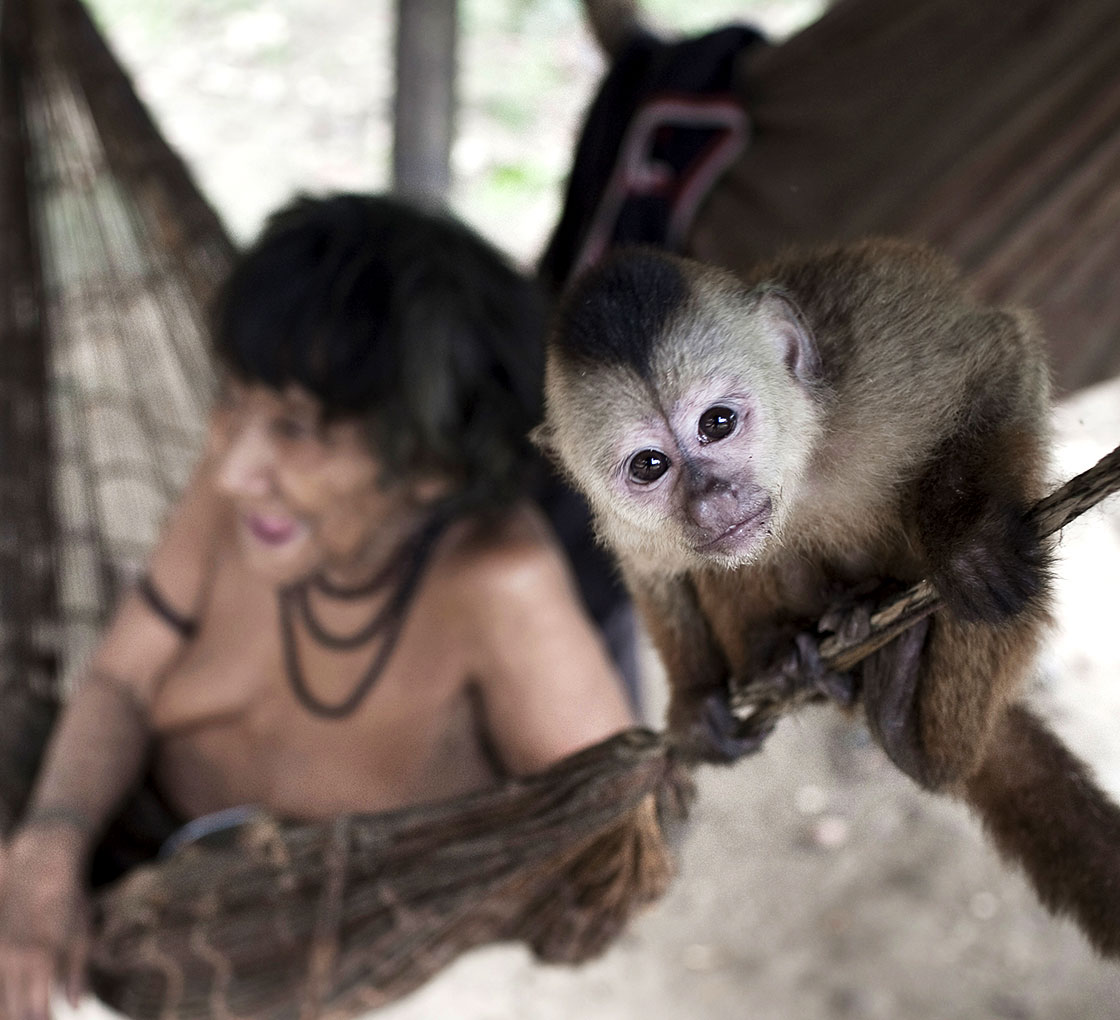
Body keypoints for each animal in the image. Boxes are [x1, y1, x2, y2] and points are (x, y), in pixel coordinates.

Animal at [530, 241, 1120, 967]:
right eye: (648, 466)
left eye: (717, 424)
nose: (712, 498)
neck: (801, 460)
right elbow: (653, 567)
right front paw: (695, 704)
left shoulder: (879, 366)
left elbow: (998, 361)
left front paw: (971, 541)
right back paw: (798, 662)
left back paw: (929, 749)